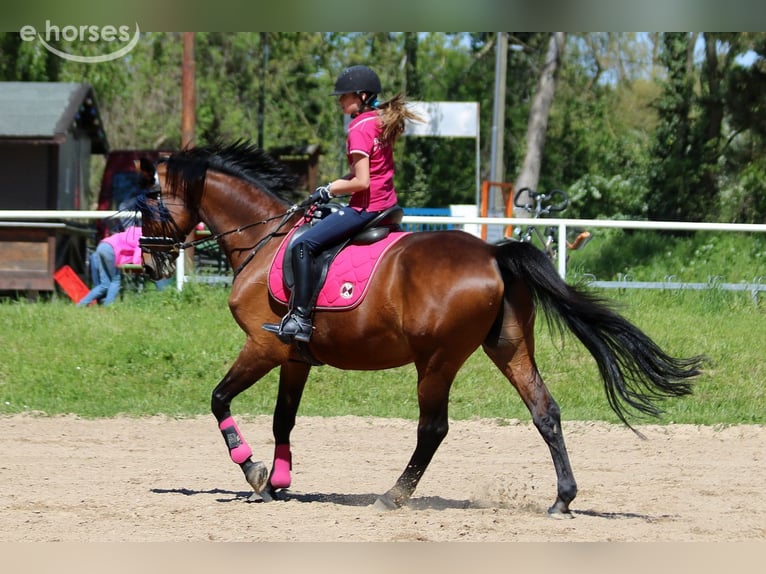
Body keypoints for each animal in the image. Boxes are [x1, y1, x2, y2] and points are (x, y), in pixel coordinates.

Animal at [137, 141, 703, 516]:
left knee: (433, 428)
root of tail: (494, 254)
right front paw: (277, 481)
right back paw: (562, 499)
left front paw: (252, 470)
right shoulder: (294, 357)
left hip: (437, 360)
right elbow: (283, 420)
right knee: (545, 411)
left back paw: (393, 495)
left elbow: (219, 399)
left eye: (145, 205)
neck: (267, 238)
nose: (148, 263)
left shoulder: (263, 346)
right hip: (509, 347)